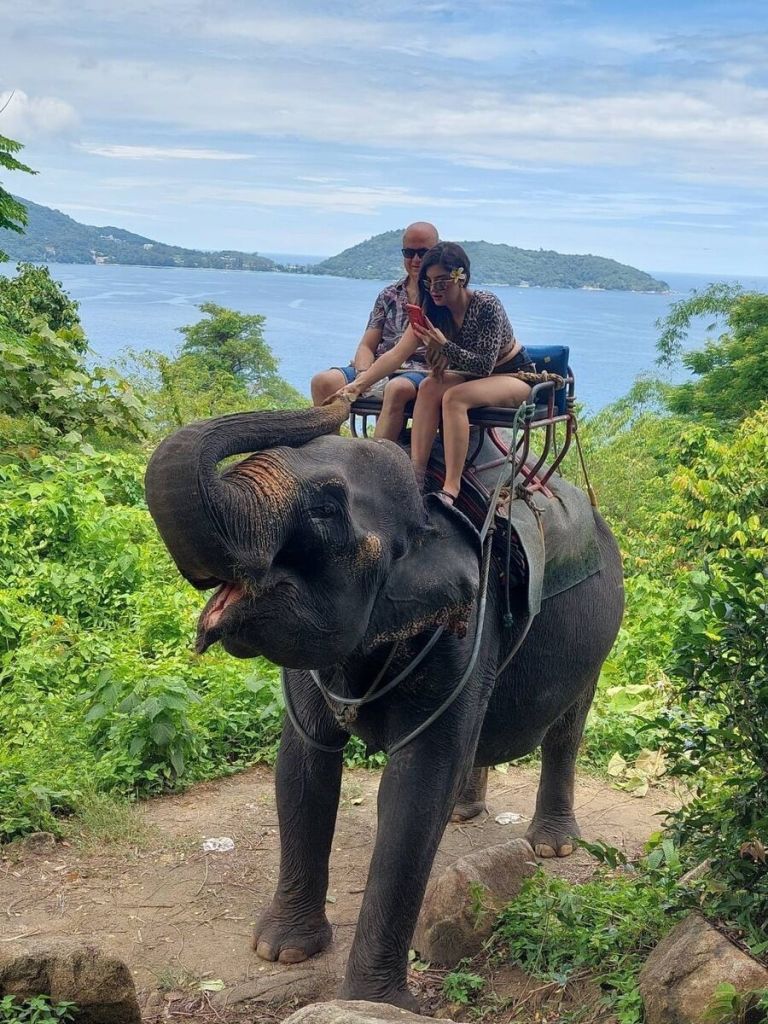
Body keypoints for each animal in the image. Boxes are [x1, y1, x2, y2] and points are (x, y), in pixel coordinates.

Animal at [145, 398, 624, 1010]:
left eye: (325, 510)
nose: (340, 399)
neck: (428, 504)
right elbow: (302, 767)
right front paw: (281, 952)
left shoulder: (466, 627)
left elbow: (416, 786)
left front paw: (375, 1003)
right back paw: (466, 812)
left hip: (600, 634)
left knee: (567, 727)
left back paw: (553, 847)